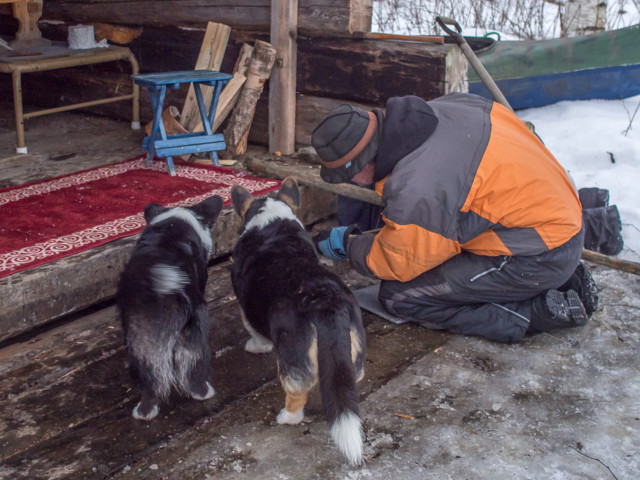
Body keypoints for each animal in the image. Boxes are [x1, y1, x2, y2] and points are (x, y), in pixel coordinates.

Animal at [116, 195, 224, 420]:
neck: (174, 223)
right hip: (194, 324)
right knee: (193, 364)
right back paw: (203, 392)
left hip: (138, 339)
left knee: (148, 377)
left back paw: (144, 413)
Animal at [231, 176, 370, 464]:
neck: (271, 223)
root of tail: (324, 302)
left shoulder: (246, 310)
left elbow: (254, 332)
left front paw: (255, 346)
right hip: (354, 344)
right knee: (354, 374)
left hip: (292, 358)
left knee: (296, 393)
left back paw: (287, 418)